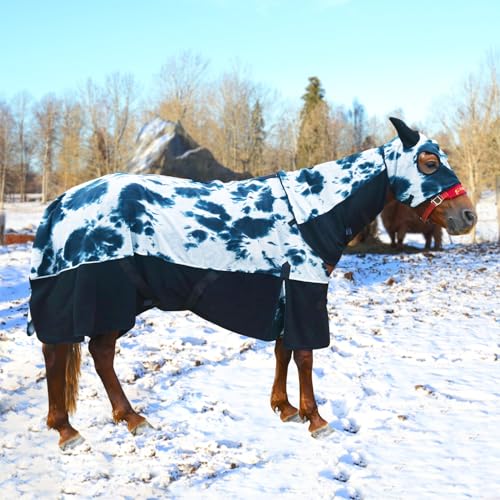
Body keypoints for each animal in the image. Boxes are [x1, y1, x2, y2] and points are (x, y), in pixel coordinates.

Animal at [27, 117, 476, 450]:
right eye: (429, 163)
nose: (468, 216)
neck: (310, 212)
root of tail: (61, 203)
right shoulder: (304, 292)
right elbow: (304, 355)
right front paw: (316, 419)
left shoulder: (286, 293)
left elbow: (283, 351)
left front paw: (285, 408)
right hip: (95, 297)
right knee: (57, 351)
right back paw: (67, 430)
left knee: (99, 354)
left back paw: (131, 418)